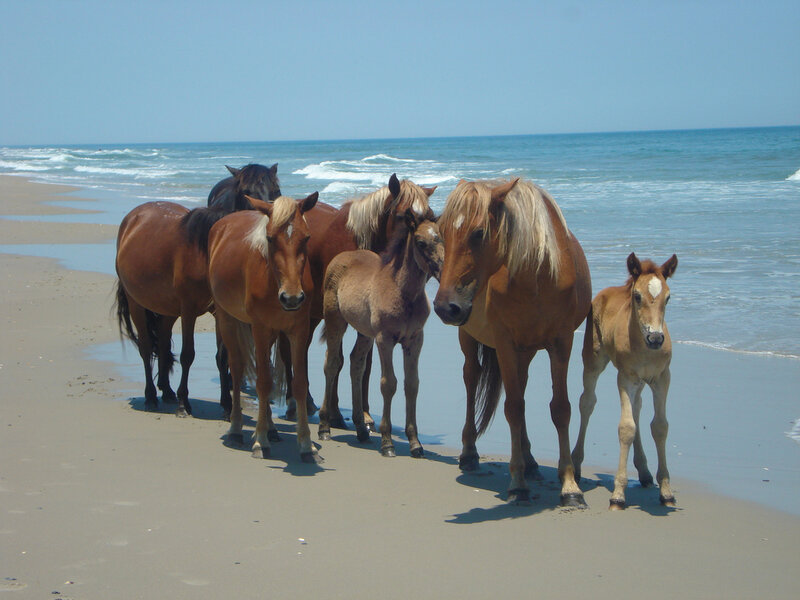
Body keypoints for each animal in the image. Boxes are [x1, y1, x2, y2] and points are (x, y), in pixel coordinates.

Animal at [115, 201, 229, 417]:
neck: (206, 252)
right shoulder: (189, 310)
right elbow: (187, 355)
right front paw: (184, 404)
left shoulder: (221, 313)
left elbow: (223, 357)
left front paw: (229, 405)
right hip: (136, 304)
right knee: (145, 348)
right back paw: (151, 397)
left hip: (168, 308)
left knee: (162, 339)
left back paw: (166, 390)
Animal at [208, 192, 320, 462]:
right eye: (270, 238)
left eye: (306, 237)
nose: (292, 298)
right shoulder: (259, 327)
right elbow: (263, 383)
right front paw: (260, 441)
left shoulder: (298, 329)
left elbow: (299, 384)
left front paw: (306, 444)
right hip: (228, 320)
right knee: (237, 368)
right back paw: (237, 429)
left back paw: (271, 428)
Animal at [320, 209, 443, 457]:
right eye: (420, 242)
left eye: (441, 238)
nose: (443, 269)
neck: (403, 292)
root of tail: (340, 257)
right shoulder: (385, 339)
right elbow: (389, 383)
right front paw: (387, 442)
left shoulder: (415, 340)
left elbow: (412, 384)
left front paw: (415, 443)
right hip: (335, 321)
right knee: (332, 363)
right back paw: (325, 426)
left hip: (364, 333)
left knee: (355, 364)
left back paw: (361, 429)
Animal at [433, 178, 592, 506]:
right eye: (441, 233)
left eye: (478, 233)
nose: (445, 307)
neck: (537, 278)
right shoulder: (505, 343)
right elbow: (514, 409)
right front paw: (517, 484)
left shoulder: (561, 343)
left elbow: (560, 408)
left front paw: (570, 485)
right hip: (469, 337)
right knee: (472, 379)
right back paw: (470, 453)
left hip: (526, 350)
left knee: (521, 386)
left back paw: (530, 461)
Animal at [571, 252, 678, 509]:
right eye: (637, 296)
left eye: (668, 297)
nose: (656, 338)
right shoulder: (625, 377)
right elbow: (626, 428)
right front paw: (618, 495)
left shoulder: (662, 378)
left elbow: (660, 426)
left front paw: (666, 492)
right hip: (593, 360)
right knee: (587, 402)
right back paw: (576, 465)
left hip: (640, 382)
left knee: (637, 407)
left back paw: (645, 473)